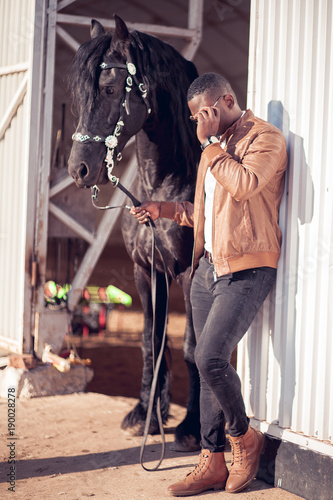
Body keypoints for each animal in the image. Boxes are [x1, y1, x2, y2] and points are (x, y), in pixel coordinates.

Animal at [67, 16, 200, 454]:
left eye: (110, 89)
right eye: (78, 96)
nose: (78, 170)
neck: (162, 188)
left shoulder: (189, 275)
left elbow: (191, 347)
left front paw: (190, 427)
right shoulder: (147, 271)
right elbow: (150, 341)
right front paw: (146, 415)